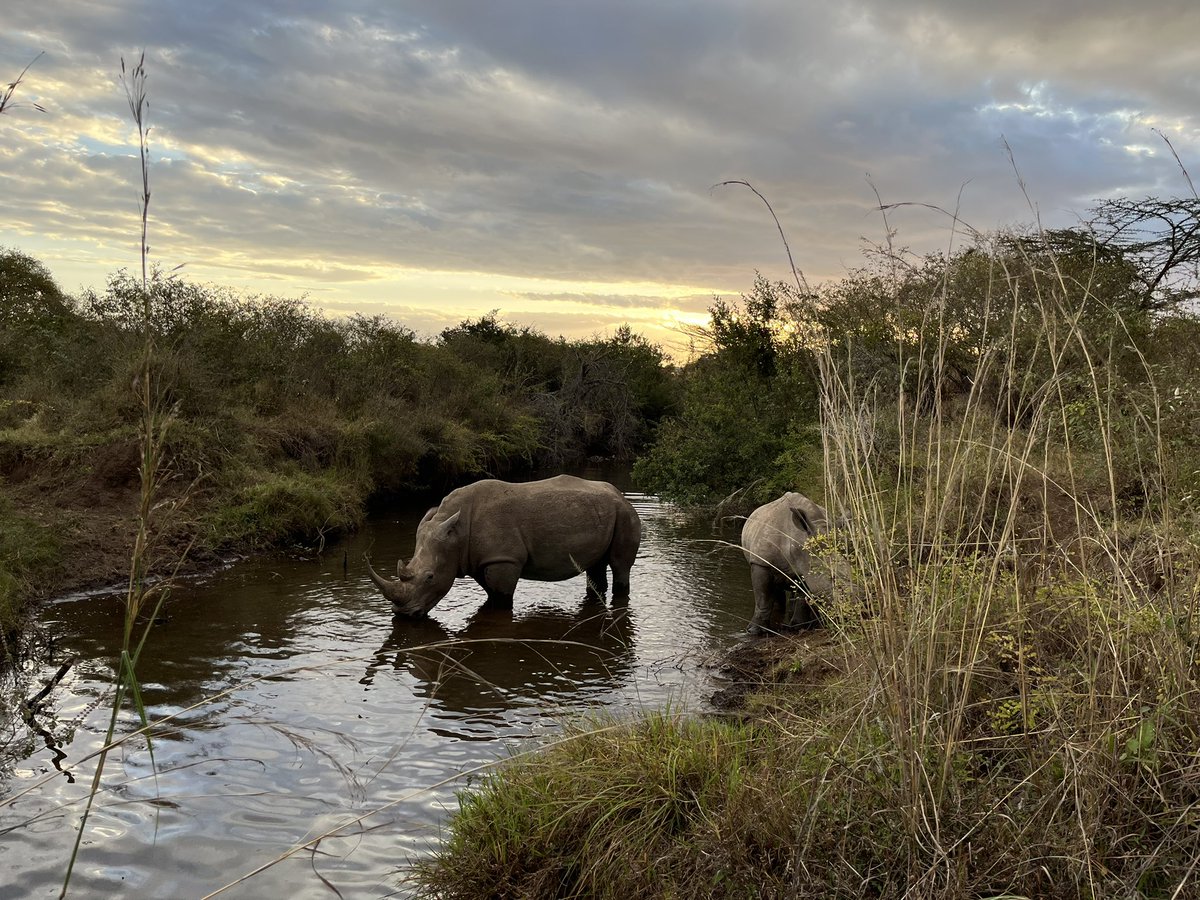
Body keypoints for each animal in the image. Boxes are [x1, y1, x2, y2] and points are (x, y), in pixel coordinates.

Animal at [365, 475, 641, 617]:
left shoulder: (504, 559)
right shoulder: (480, 559)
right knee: (595, 565)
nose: (402, 614)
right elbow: (491, 593)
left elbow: (501, 598)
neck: (457, 533)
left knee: (620, 565)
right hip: (604, 511)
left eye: (430, 577)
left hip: (625, 513)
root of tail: (619, 493)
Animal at [741, 491, 830, 635]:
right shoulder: (761, 562)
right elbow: (763, 597)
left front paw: (799, 627)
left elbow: (802, 597)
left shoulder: (804, 566)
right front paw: (753, 631)